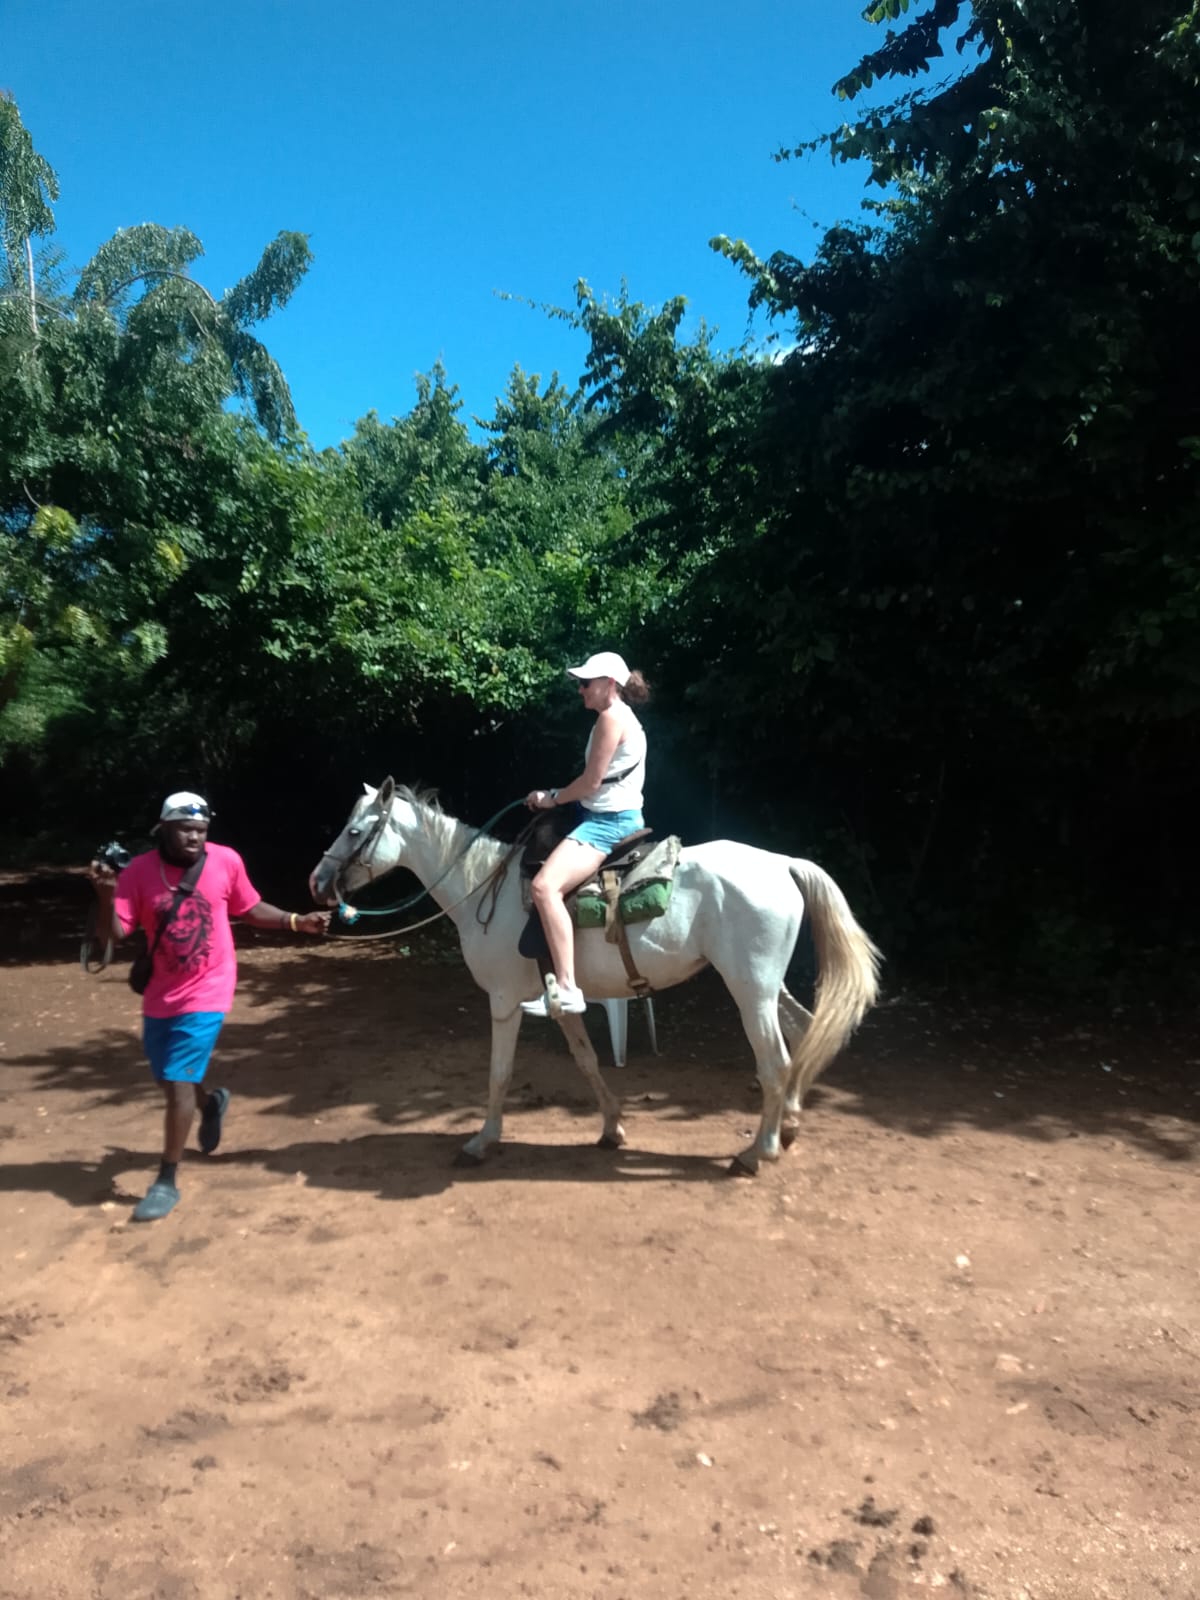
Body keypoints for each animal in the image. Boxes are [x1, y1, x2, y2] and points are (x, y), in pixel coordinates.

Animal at [309, 780, 881, 1175]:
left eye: (356, 831)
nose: (317, 880)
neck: (485, 890)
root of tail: (783, 863)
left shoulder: (503, 1000)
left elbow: (499, 1074)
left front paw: (481, 1141)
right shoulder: (558, 999)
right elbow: (587, 1061)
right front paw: (612, 1127)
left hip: (750, 990)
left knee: (775, 1062)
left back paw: (756, 1152)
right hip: (767, 986)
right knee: (803, 1032)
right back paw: (790, 1127)